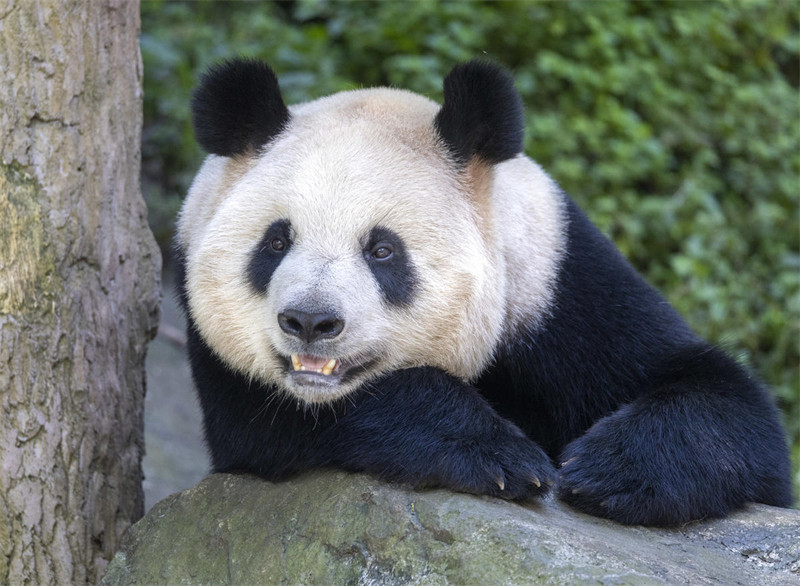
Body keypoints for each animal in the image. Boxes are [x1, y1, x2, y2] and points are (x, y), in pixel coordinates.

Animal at [172, 59, 792, 524]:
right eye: (276, 242)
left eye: (382, 250)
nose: (310, 321)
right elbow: (278, 423)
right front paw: (500, 455)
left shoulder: (558, 281)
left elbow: (726, 403)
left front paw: (607, 471)